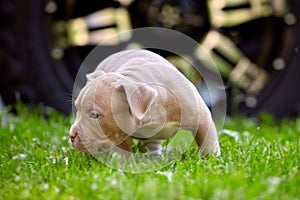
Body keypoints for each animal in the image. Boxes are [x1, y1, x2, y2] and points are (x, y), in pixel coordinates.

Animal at [69, 49, 220, 157]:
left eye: (95, 115)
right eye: (77, 109)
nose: (71, 135)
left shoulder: (201, 116)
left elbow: (208, 141)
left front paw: (211, 161)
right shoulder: (119, 131)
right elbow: (124, 152)